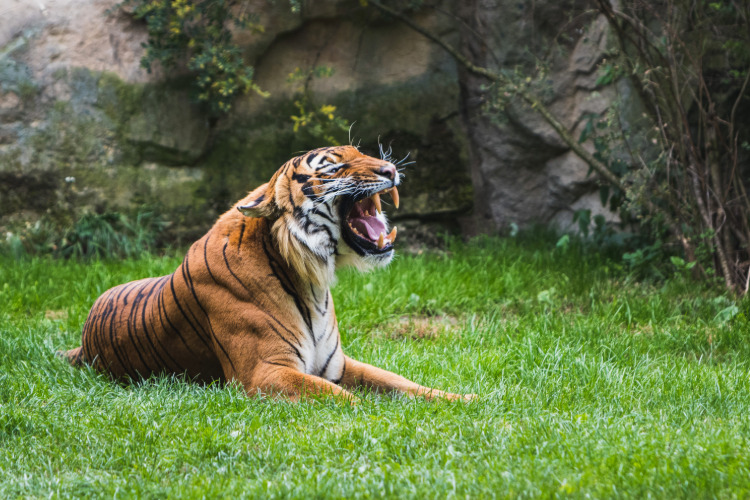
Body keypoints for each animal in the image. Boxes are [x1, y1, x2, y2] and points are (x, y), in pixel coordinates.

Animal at [62, 145, 476, 402]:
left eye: (363, 153)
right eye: (336, 166)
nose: (390, 169)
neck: (311, 281)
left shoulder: (338, 365)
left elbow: (400, 382)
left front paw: (464, 399)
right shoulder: (265, 372)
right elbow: (345, 399)